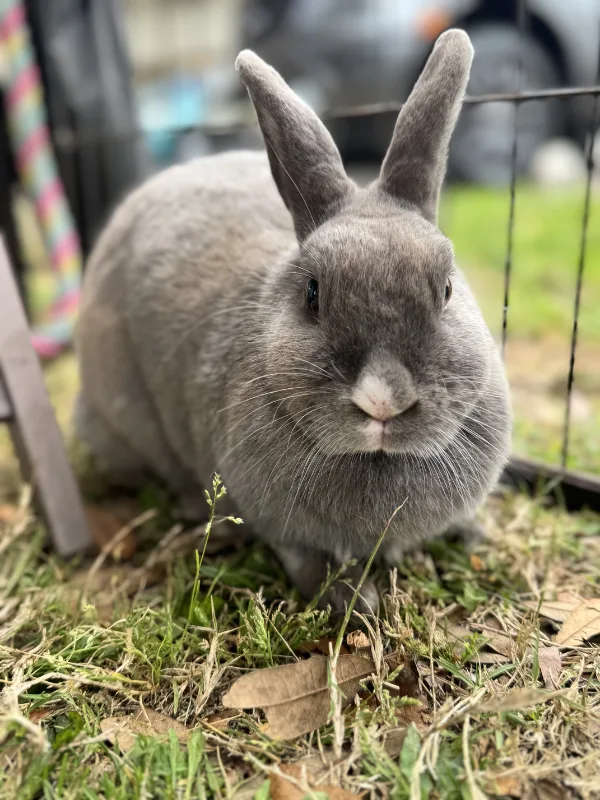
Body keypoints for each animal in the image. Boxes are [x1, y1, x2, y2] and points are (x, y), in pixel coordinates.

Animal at [75, 29, 511, 613]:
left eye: (445, 288)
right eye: (312, 293)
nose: (383, 398)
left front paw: (471, 533)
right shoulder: (268, 515)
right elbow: (301, 556)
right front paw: (353, 601)